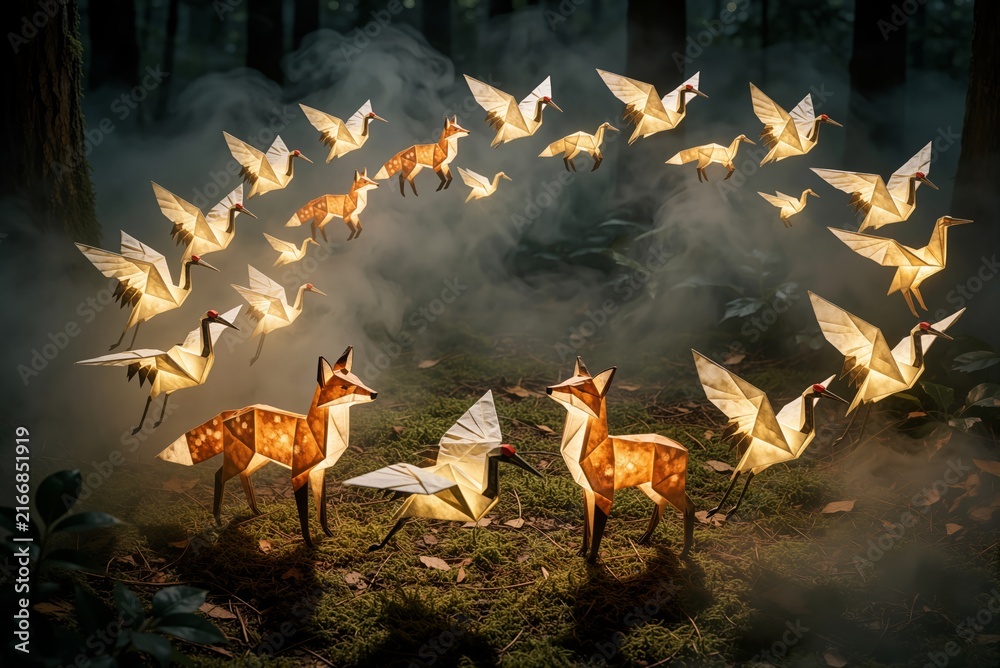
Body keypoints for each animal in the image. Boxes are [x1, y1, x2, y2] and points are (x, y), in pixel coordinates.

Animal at [156, 348, 377, 546]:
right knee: (219, 476)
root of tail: (233, 411)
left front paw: (328, 534)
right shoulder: (298, 476)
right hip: (239, 459)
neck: (318, 435)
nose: (374, 394)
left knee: (244, 476)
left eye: (358, 379)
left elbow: (322, 512)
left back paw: (255, 511)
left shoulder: (319, 473)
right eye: (344, 387)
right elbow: (304, 516)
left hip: (257, 459)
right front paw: (309, 543)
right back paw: (218, 520)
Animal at [547, 358, 694, 562]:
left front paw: (591, 560)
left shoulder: (605, 494)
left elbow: (597, 530)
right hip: (650, 487)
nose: (549, 389)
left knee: (690, 506)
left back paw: (684, 553)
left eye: (581, 389)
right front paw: (581, 551)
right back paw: (644, 538)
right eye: (567, 380)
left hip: (668, 487)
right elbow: (587, 527)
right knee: (660, 505)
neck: (592, 449)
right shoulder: (587, 490)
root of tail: (683, 448)